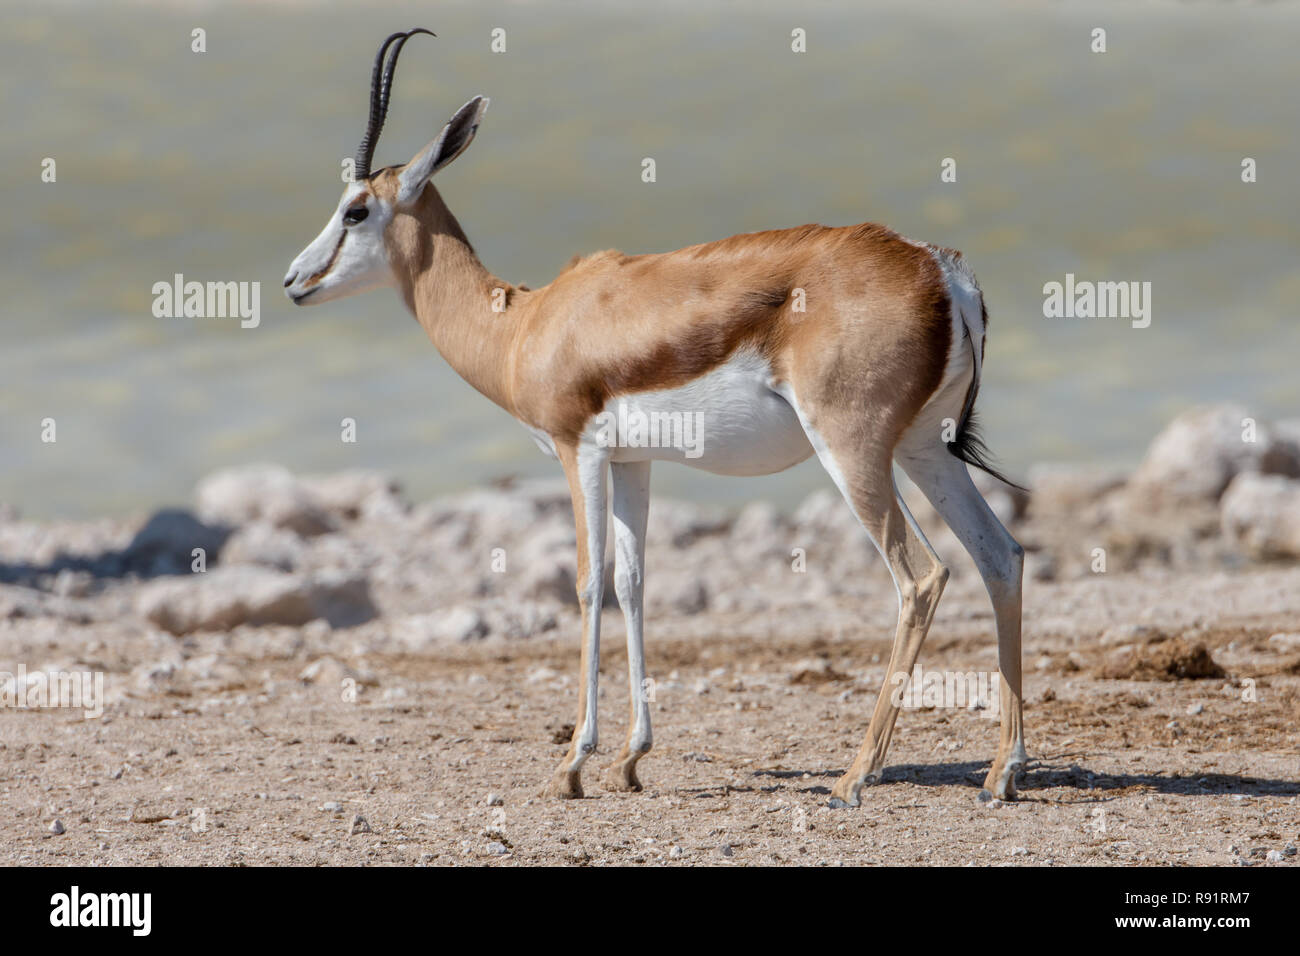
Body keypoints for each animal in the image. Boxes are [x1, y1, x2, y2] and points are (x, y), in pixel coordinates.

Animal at [284, 29, 1029, 806]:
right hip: (925, 450)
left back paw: (856, 775)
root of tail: (941, 270)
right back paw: (1002, 772)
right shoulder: (632, 460)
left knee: (921, 576)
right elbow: (632, 584)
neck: (524, 323)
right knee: (1000, 555)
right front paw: (630, 758)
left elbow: (587, 582)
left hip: (853, 453)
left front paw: (573, 764)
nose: (293, 281)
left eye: (355, 210)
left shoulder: (576, 450)